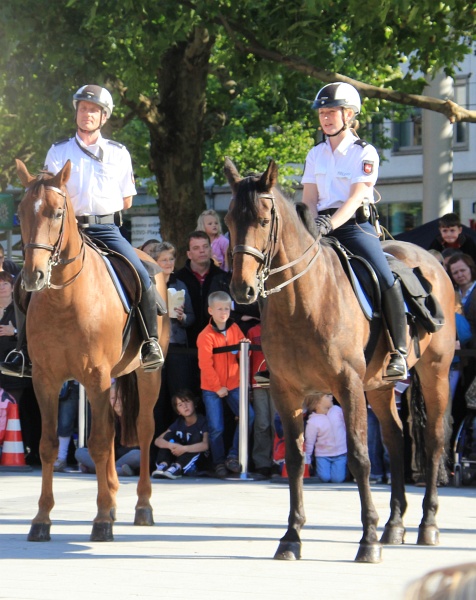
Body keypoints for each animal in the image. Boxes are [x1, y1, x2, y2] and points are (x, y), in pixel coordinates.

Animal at [15, 159, 169, 544]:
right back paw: (112, 501)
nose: (33, 276)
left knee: (143, 430)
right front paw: (42, 519)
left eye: (57, 213)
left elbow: (99, 443)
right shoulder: (46, 381)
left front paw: (100, 521)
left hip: (147, 375)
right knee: (112, 430)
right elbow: (48, 445)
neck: (64, 298)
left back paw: (142, 506)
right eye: (20, 212)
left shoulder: (97, 377)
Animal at [225, 158, 456, 564]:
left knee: (433, 440)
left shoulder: (346, 386)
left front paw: (367, 539)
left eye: (264, 219)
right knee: (396, 440)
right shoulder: (286, 391)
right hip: (378, 386)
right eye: (228, 220)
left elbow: (360, 457)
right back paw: (395, 525)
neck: (303, 301)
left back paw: (427, 524)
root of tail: (431, 259)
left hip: (435, 373)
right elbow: (297, 459)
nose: (242, 289)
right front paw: (291, 536)